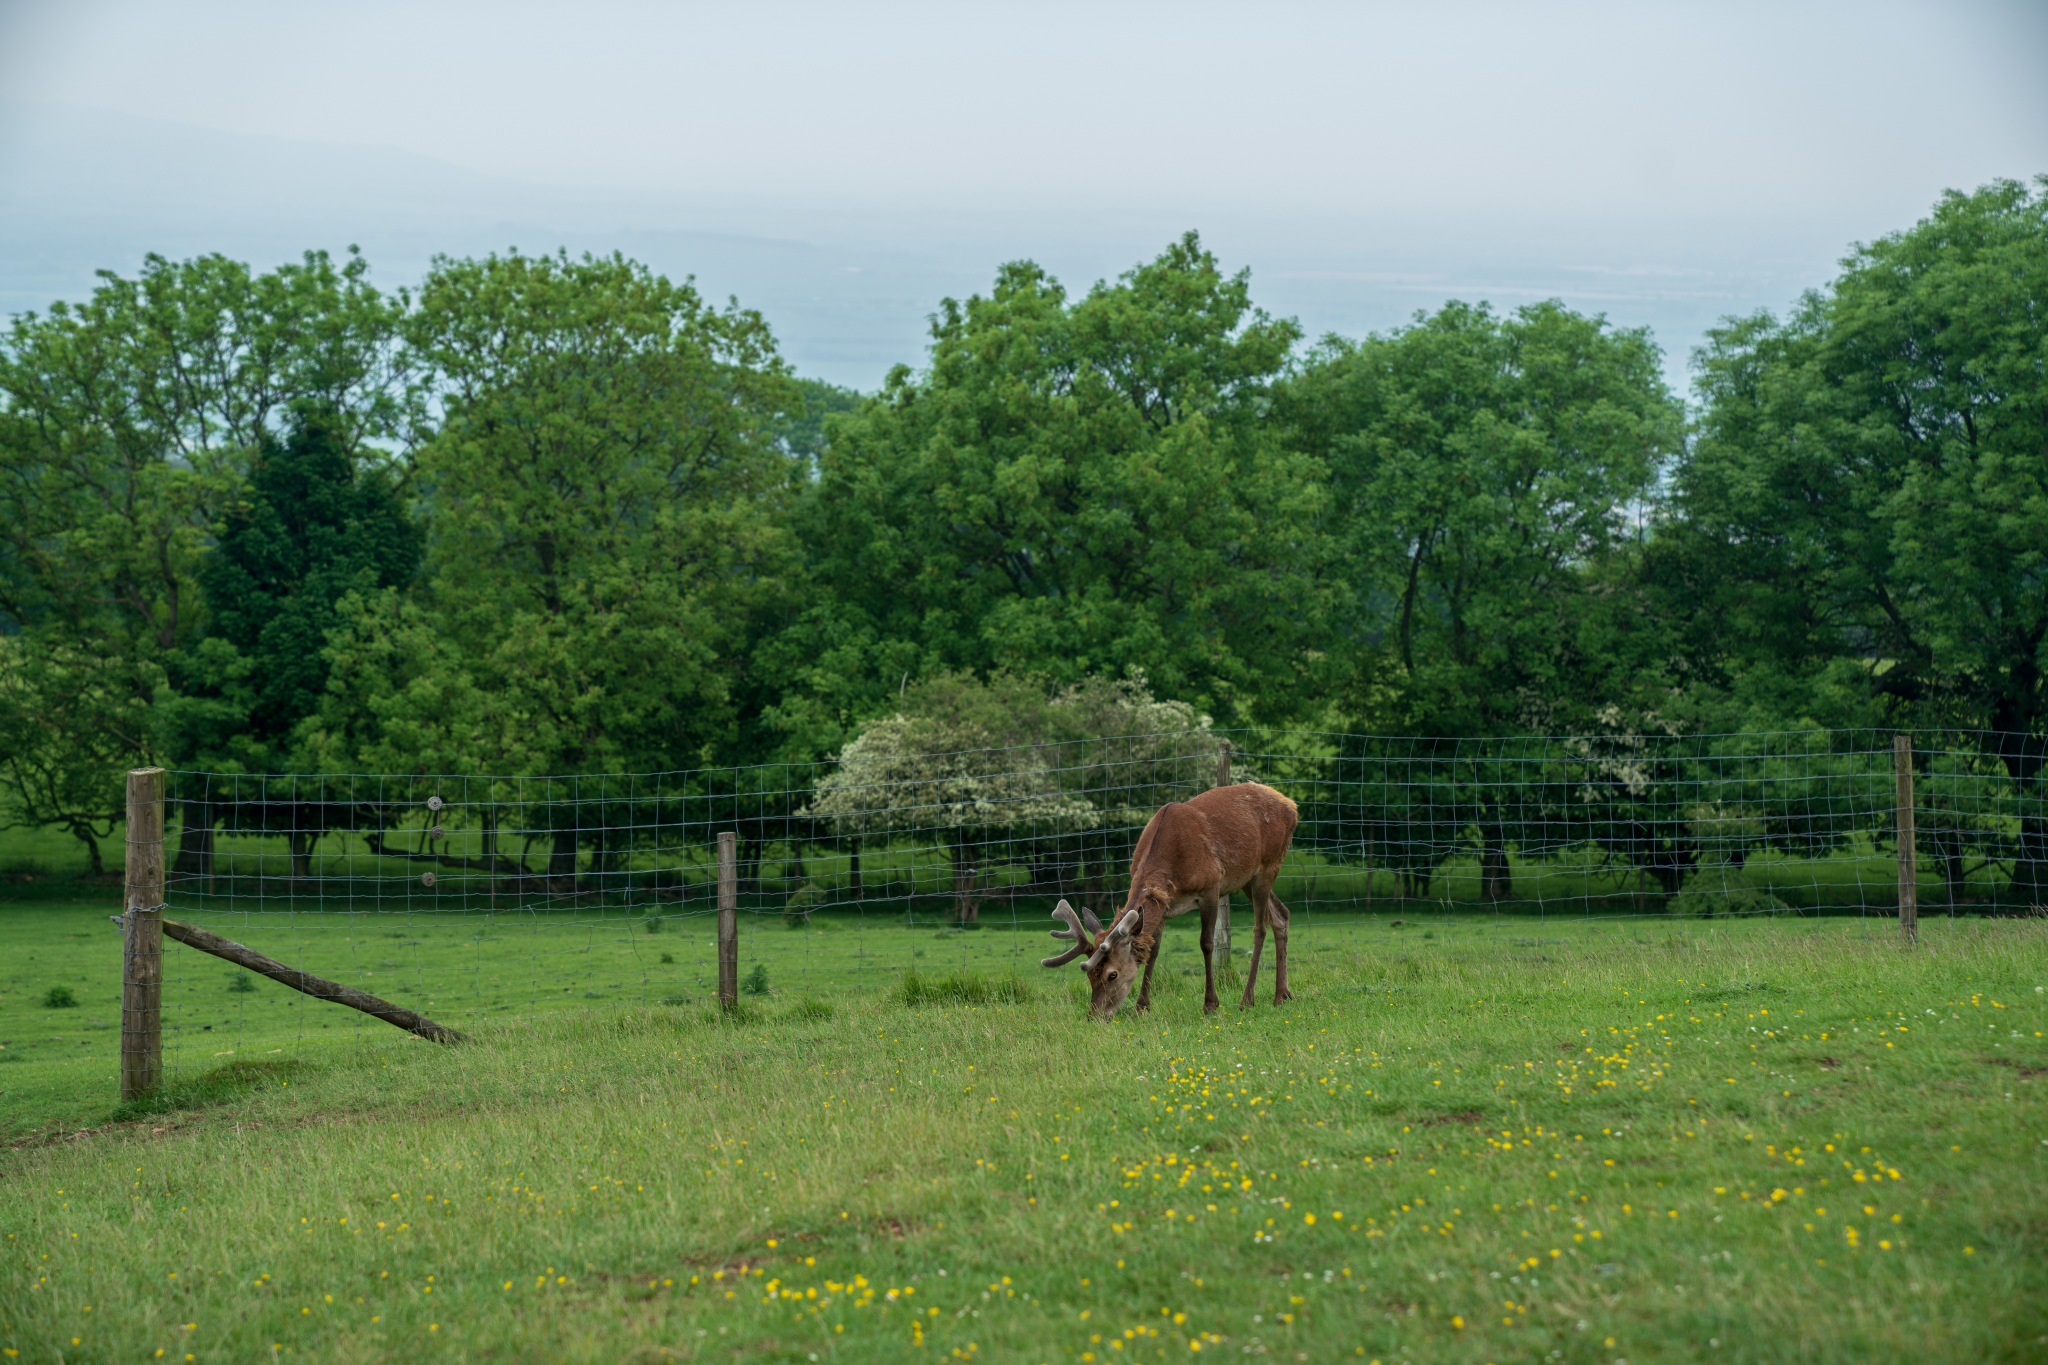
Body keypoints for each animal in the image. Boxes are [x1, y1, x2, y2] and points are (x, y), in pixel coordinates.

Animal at [1040, 785, 1294, 1019]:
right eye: (1089, 975)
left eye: (1112, 974)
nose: (1095, 1015)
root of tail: (1291, 805)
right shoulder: (1162, 904)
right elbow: (1153, 950)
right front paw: (1141, 1006)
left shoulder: (1211, 887)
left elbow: (1206, 943)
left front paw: (1210, 1004)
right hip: (1247, 880)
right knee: (1281, 914)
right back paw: (1282, 995)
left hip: (1268, 865)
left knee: (1260, 927)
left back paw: (1247, 1000)